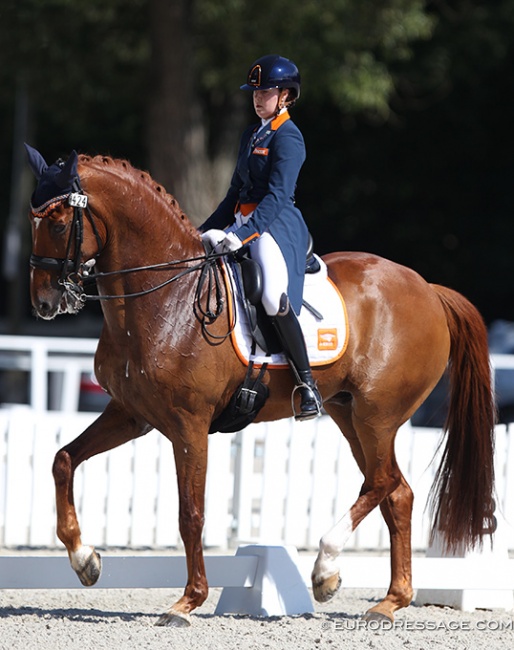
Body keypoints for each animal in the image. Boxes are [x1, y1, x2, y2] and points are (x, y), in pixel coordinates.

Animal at [26, 147, 494, 624]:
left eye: (59, 224)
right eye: (33, 221)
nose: (43, 302)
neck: (166, 299)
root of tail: (428, 289)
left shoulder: (189, 425)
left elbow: (190, 513)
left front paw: (187, 601)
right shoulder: (131, 414)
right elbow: (63, 460)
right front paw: (85, 560)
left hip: (376, 415)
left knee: (381, 483)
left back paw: (325, 569)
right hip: (348, 414)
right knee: (397, 492)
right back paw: (388, 601)